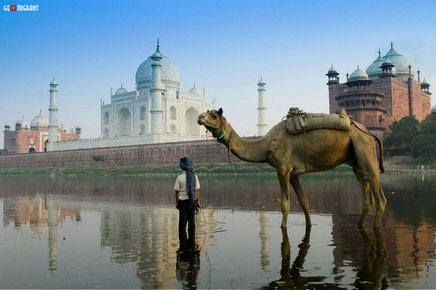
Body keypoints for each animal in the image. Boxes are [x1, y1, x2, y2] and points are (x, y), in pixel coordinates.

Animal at [197, 107, 384, 228]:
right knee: (366, 193)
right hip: (356, 160)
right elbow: (304, 201)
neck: (266, 144)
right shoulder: (293, 173)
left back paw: (376, 227)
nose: (200, 117)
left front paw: (283, 227)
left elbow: (285, 203)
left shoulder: (283, 168)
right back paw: (360, 225)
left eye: (213, 115)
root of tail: (369, 132)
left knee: (379, 193)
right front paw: (309, 225)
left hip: (365, 147)